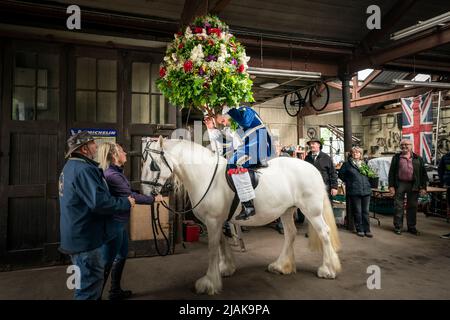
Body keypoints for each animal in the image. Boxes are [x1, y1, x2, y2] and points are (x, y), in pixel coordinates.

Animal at [141, 137, 342, 296]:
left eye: (153, 165)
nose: (146, 194)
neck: (206, 175)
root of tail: (312, 168)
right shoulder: (216, 221)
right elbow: (221, 243)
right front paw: (226, 268)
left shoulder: (213, 221)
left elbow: (213, 248)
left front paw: (209, 282)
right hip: (286, 211)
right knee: (290, 234)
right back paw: (281, 266)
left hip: (312, 211)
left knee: (324, 233)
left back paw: (328, 269)